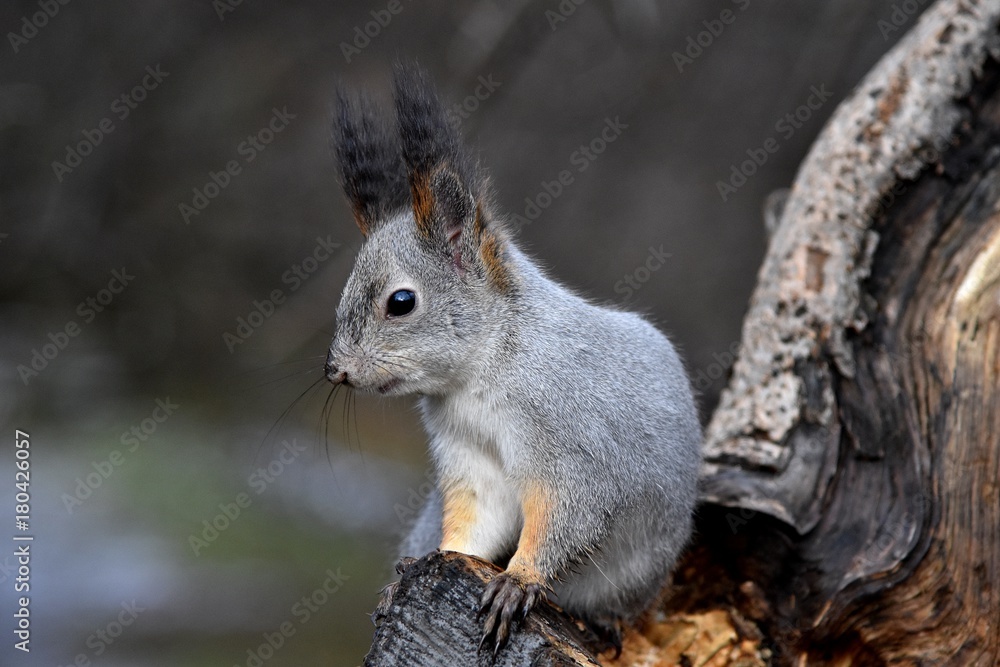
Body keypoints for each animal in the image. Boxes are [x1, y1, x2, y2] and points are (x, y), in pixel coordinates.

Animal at [326, 63, 702, 655]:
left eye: (401, 302)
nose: (334, 370)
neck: (482, 371)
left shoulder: (575, 445)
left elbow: (570, 513)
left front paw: (519, 581)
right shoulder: (470, 458)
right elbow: (475, 522)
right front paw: (444, 559)